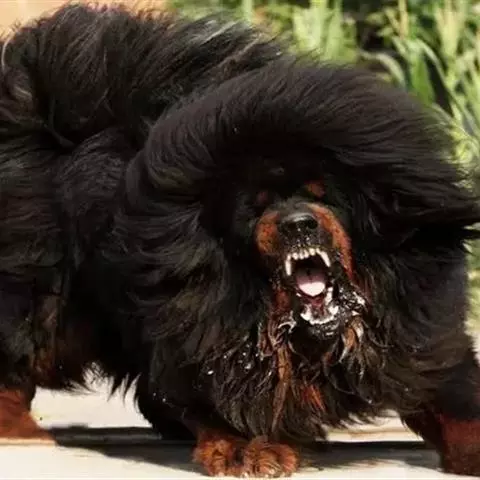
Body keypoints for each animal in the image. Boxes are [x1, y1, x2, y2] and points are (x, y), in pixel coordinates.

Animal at [0, 3, 479, 477]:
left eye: (323, 196)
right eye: (257, 208)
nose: (297, 223)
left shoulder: (418, 338)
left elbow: (455, 402)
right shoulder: (206, 330)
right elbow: (225, 393)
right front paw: (246, 448)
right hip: (48, 303)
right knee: (18, 362)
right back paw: (23, 433)